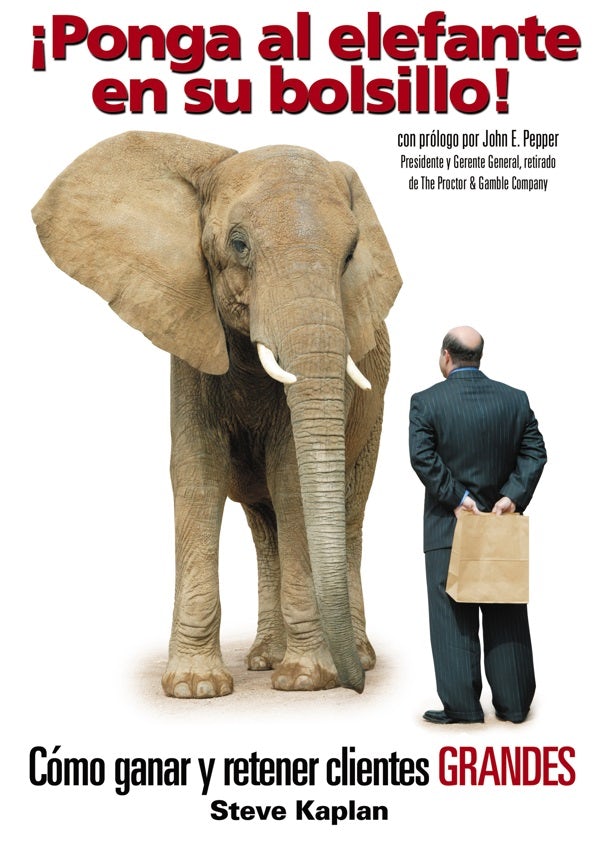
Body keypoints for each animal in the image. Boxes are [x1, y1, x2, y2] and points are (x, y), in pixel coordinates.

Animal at [32, 131, 402, 698]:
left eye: (349, 255)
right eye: (239, 244)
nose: (352, 687)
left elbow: (291, 476)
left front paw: (305, 681)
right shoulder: (188, 329)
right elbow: (198, 471)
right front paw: (195, 688)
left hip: (375, 408)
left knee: (350, 511)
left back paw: (344, 657)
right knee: (265, 526)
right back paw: (265, 660)